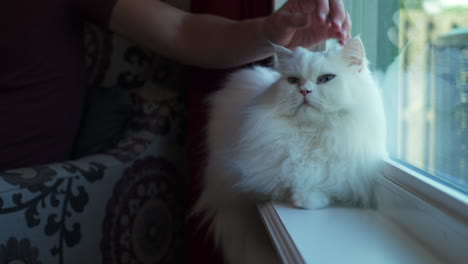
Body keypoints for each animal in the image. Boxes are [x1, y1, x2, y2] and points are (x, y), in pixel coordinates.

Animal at [196, 37, 386, 264]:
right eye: (293, 81)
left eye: (326, 79)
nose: (304, 91)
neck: (310, 133)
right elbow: (289, 178)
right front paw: (300, 197)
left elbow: (321, 182)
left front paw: (308, 199)